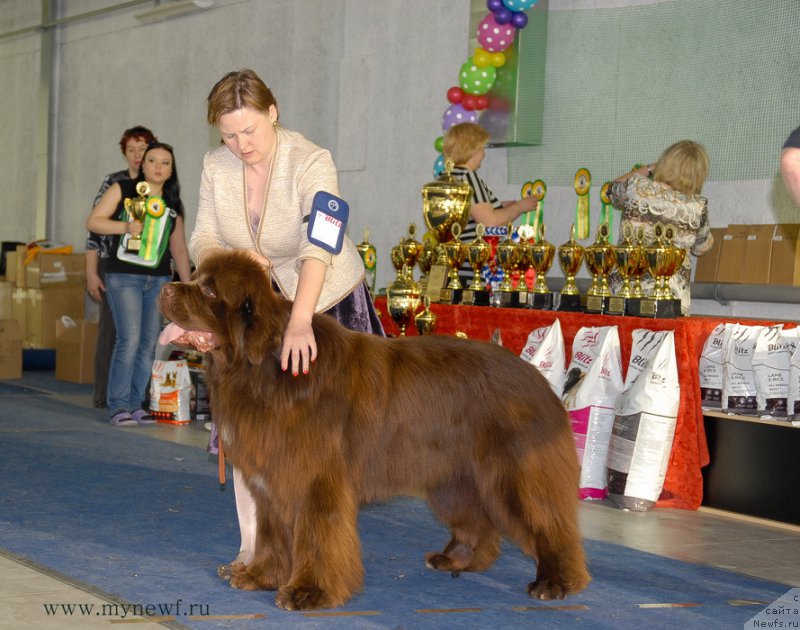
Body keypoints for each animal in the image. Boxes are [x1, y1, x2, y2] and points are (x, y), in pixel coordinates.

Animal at [159, 252, 592, 612]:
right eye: (196, 276)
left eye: (209, 289)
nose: (165, 288)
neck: (264, 369)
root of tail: (536, 378)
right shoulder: (272, 480)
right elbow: (271, 532)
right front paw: (260, 575)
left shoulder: (315, 482)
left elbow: (317, 536)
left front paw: (308, 592)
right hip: (454, 478)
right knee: (477, 522)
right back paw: (456, 559)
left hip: (513, 476)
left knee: (550, 524)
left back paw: (557, 582)